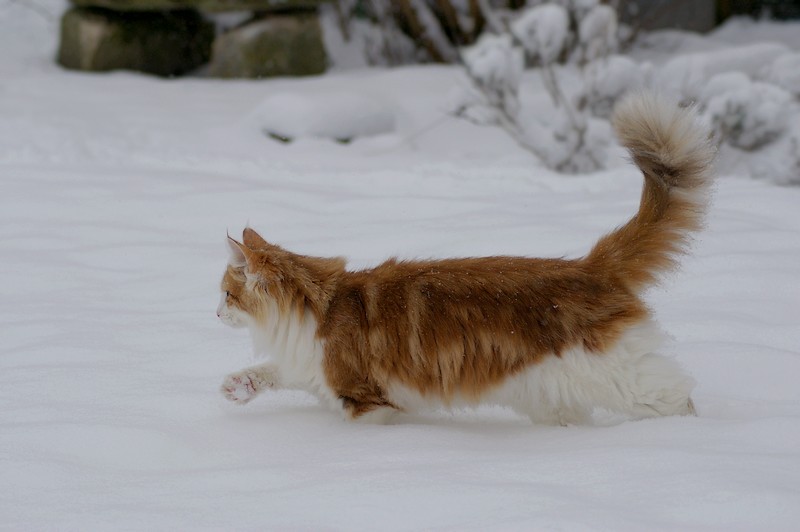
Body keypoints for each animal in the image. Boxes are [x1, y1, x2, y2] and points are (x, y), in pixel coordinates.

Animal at [217, 90, 712, 424]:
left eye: (225, 294)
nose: (214, 313)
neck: (315, 305)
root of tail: (589, 265)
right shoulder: (309, 369)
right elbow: (273, 370)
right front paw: (237, 386)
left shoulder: (368, 398)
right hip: (554, 396)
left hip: (619, 377)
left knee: (678, 398)